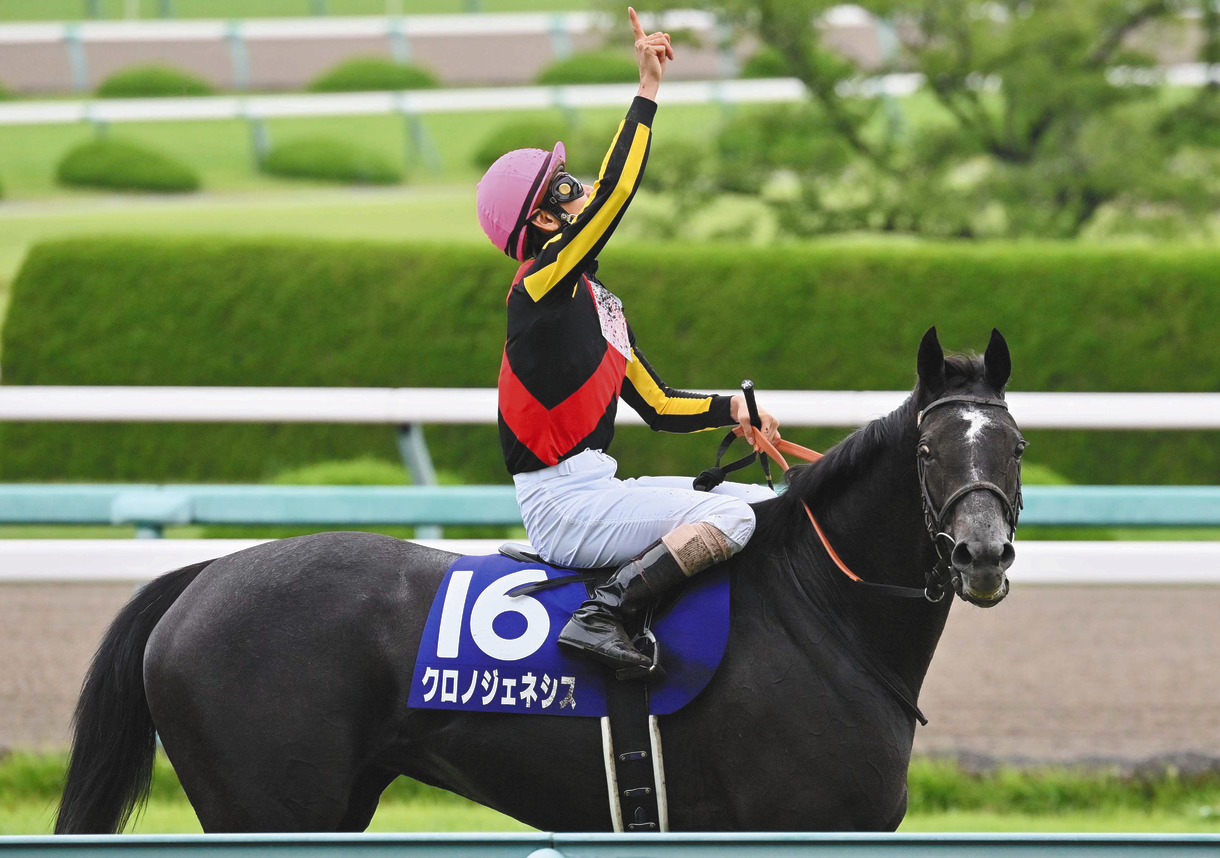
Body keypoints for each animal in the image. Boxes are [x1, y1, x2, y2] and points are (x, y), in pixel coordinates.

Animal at [55, 326, 1023, 834]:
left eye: (1013, 446)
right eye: (929, 452)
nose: (980, 555)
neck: (819, 609)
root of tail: (203, 576)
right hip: (270, 808)